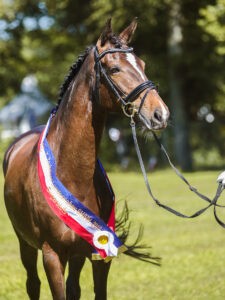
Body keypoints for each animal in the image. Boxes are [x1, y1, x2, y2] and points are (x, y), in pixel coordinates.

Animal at [3, 19, 169, 300]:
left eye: (143, 65)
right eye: (114, 68)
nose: (160, 114)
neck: (71, 173)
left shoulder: (98, 253)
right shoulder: (52, 256)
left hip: (76, 255)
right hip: (25, 242)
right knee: (32, 284)